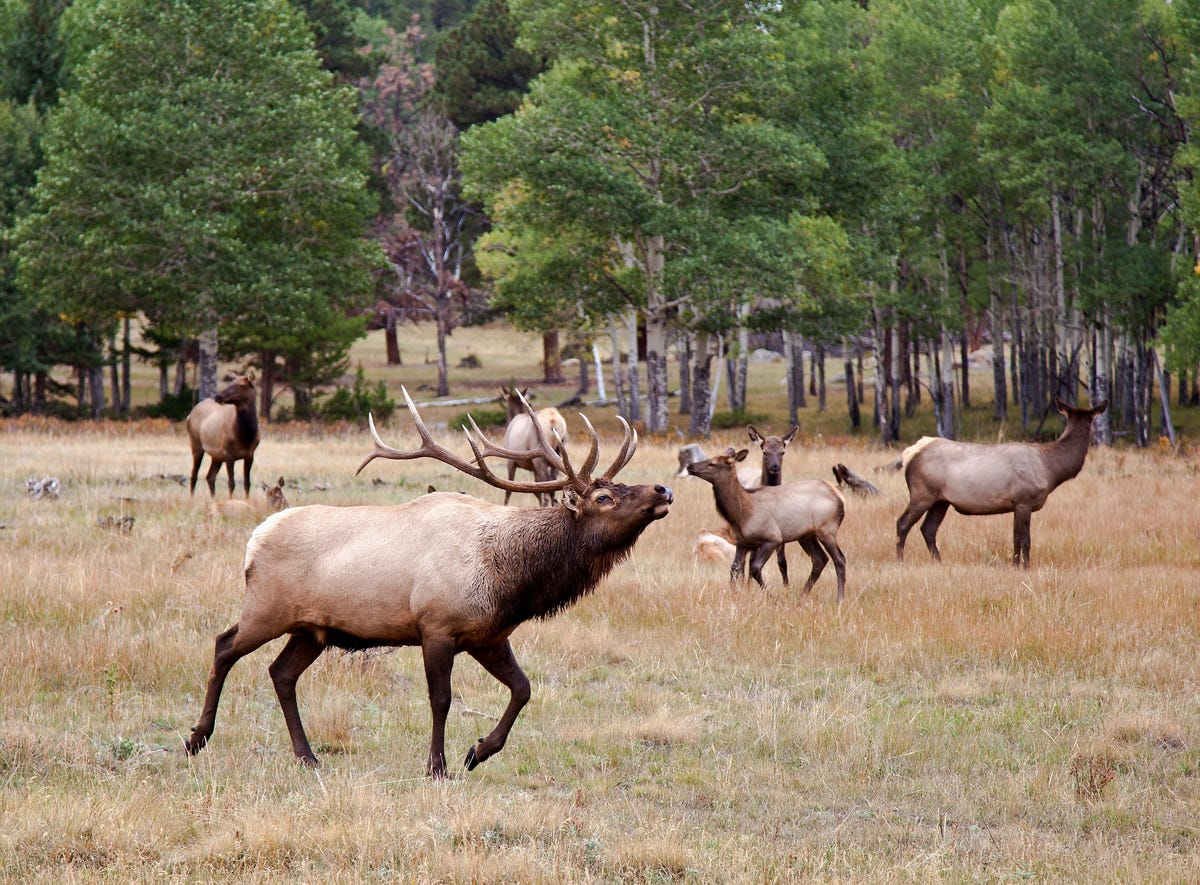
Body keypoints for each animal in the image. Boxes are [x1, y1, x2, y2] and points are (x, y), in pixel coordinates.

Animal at [187, 388, 676, 777]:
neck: (507, 580)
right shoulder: (435, 627)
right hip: (266, 608)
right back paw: (197, 737)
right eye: (604, 496)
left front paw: (478, 751)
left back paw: (306, 756)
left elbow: (523, 688)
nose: (663, 490)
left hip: (312, 629)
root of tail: (254, 541)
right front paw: (437, 766)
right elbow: (441, 698)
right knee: (224, 646)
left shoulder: (488, 635)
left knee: (281, 673)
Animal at [686, 448, 844, 599]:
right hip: (806, 536)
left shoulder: (772, 538)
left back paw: (839, 599)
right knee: (820, 560)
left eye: (712, 463)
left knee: (839, 559)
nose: (689, 466)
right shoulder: (742, 543)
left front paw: (772, 597)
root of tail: (840, 497)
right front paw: (734, 595)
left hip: (826, 530)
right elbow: (735, 569)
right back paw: (802, 596)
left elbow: (755, 568)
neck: (742, 515)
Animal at [897, 395, 1108, 566]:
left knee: (928, 529)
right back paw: (900, 560)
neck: (1051, 470)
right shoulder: (1024, 500)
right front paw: (1026, 567)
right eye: (1091, 419)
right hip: (922, 493)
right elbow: (1025, 539)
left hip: (941, 501)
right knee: (902, 523)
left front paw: (1015, 565)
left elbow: (1015, 538)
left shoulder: (1016, 504)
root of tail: (910, 453)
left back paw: (939, 562)